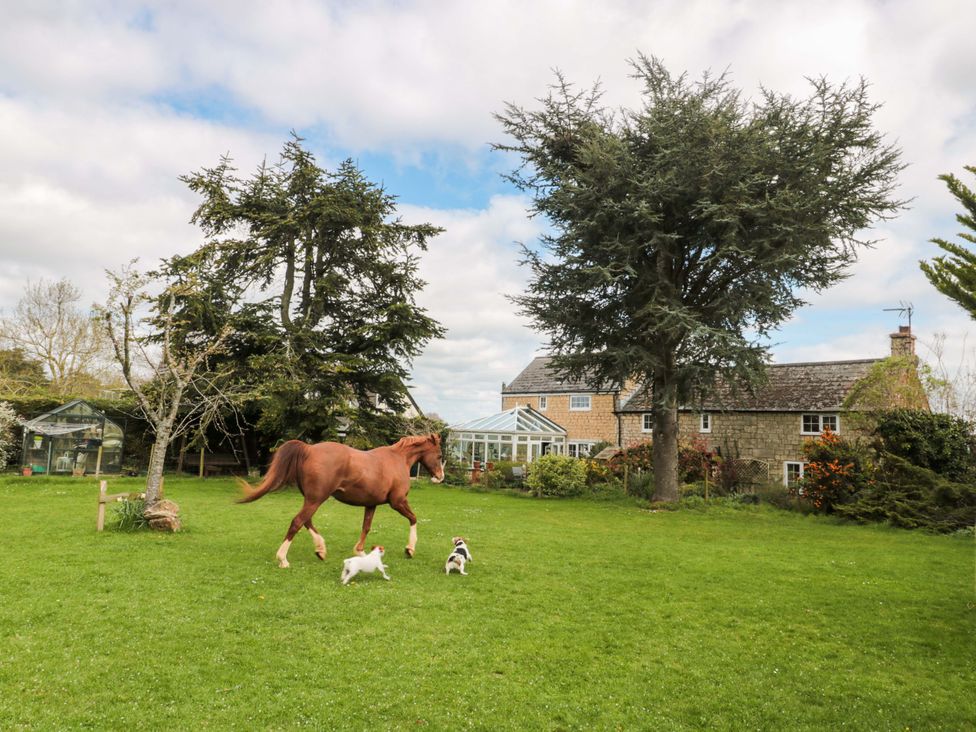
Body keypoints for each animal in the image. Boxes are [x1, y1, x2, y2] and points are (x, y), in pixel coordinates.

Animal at [237, 433, 444, 568]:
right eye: (440, 455)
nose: (440, 477)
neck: (398, 459)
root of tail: (309, 449)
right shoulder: (398, 501)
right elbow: (413, 518)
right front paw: (410, 549)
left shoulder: (371, 504)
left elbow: (366, 527)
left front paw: (360, 552)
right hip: (316, 499)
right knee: (298, 522)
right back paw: (283, 559)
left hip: (312, 499)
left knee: (306, 521)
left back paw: (321, 550)